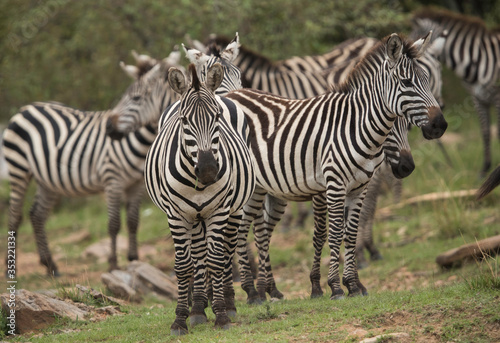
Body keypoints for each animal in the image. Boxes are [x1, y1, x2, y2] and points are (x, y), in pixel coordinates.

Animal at [0, 51, 180, 276]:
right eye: (127, 96)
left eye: (136, 98)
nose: (109, 128)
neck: (141, 142)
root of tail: (25, 107)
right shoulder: (113, 180)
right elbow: (114, 224)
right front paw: (113, 264)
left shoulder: (136, 184)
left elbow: (133, 222)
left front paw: (133, 260)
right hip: (19, 168)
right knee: (14, 215)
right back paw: (11, 268)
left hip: (46, 180)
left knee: (37, 215)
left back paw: (50, 265)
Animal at [144, 63, 254, 334]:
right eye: (184, 120)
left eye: (217, 117)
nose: (208, 171)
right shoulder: (176, 215)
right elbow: (185, 266)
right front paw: (181, 318)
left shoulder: (219, 210)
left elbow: (216, 260)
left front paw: (222, 315)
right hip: (194, 218)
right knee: (198, 254)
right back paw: (198, 307)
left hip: (234, 210)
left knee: (226, 252)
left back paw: (226, 303)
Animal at [225, 31, 448, 300]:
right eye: (406, 83)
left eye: (426, 80)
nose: (440, 125)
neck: (355, 125)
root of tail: (231, 95)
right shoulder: (332, 186)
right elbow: (331, 233)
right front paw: (333, 286)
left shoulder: (359, 187)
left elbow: (349, 233)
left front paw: (353, 284)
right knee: (237, 232)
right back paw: (249, 291)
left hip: (264, 188)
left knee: (257, 231)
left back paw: (267, 290)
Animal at [412, 7, 500, 177]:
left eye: (414, 35)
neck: (477, 60)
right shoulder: (478, 99)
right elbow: (485, 131)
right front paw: (485, 169)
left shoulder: (497, 98)